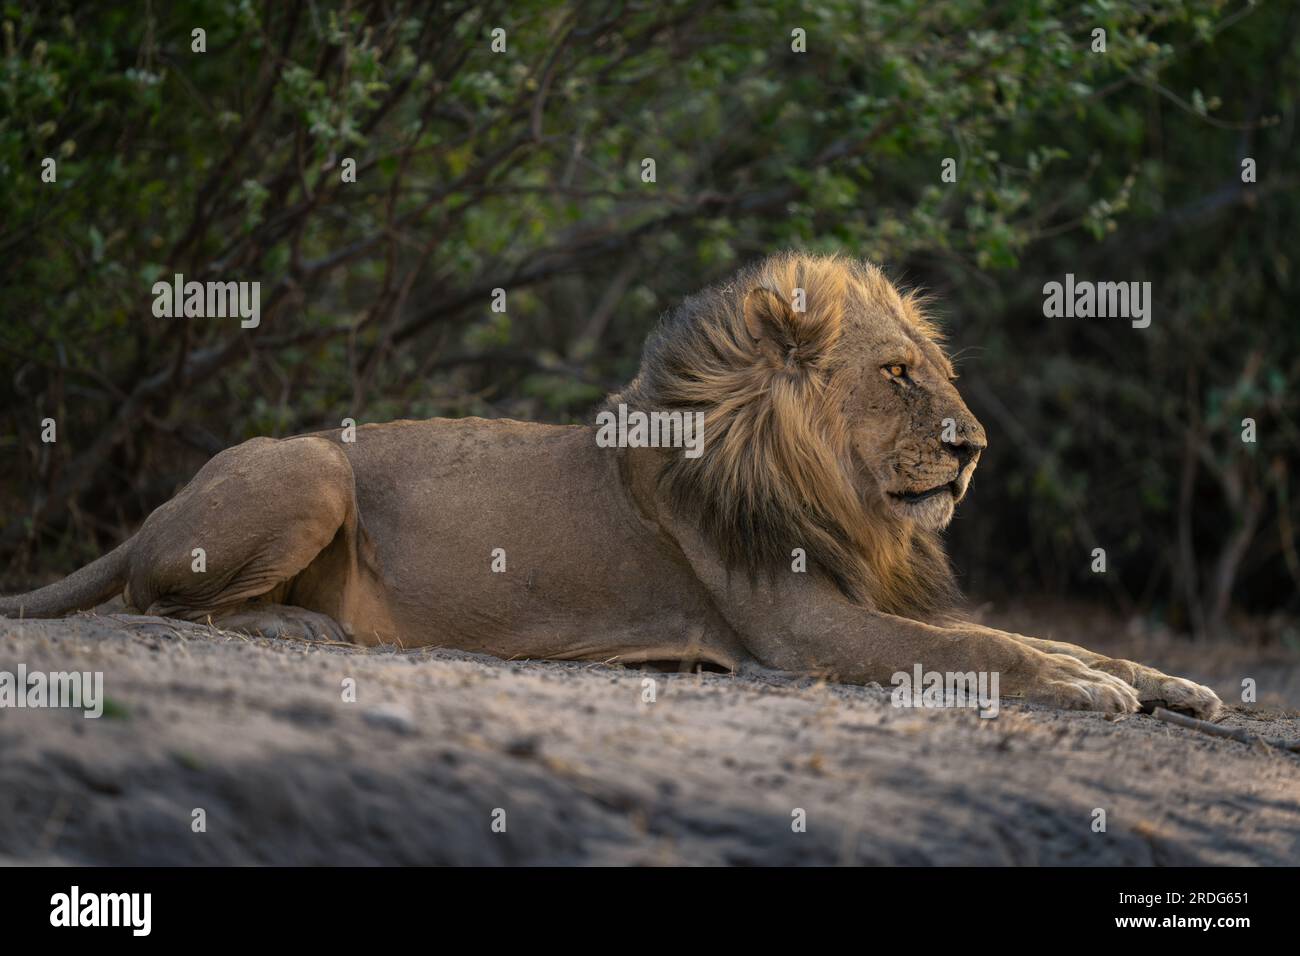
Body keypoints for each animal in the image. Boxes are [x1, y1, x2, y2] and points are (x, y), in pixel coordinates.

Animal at [1, 252, 1221, 718]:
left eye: (938, 372)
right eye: (897, 375)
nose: (973, 447)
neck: (840, 496)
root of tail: (158, 507)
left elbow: (1043, 633)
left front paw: (1163, 681)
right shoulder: (806, 634)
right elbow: (985, 646)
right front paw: (1090, 689)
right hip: (306, 467)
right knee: (161, 598)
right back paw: (298, 628)